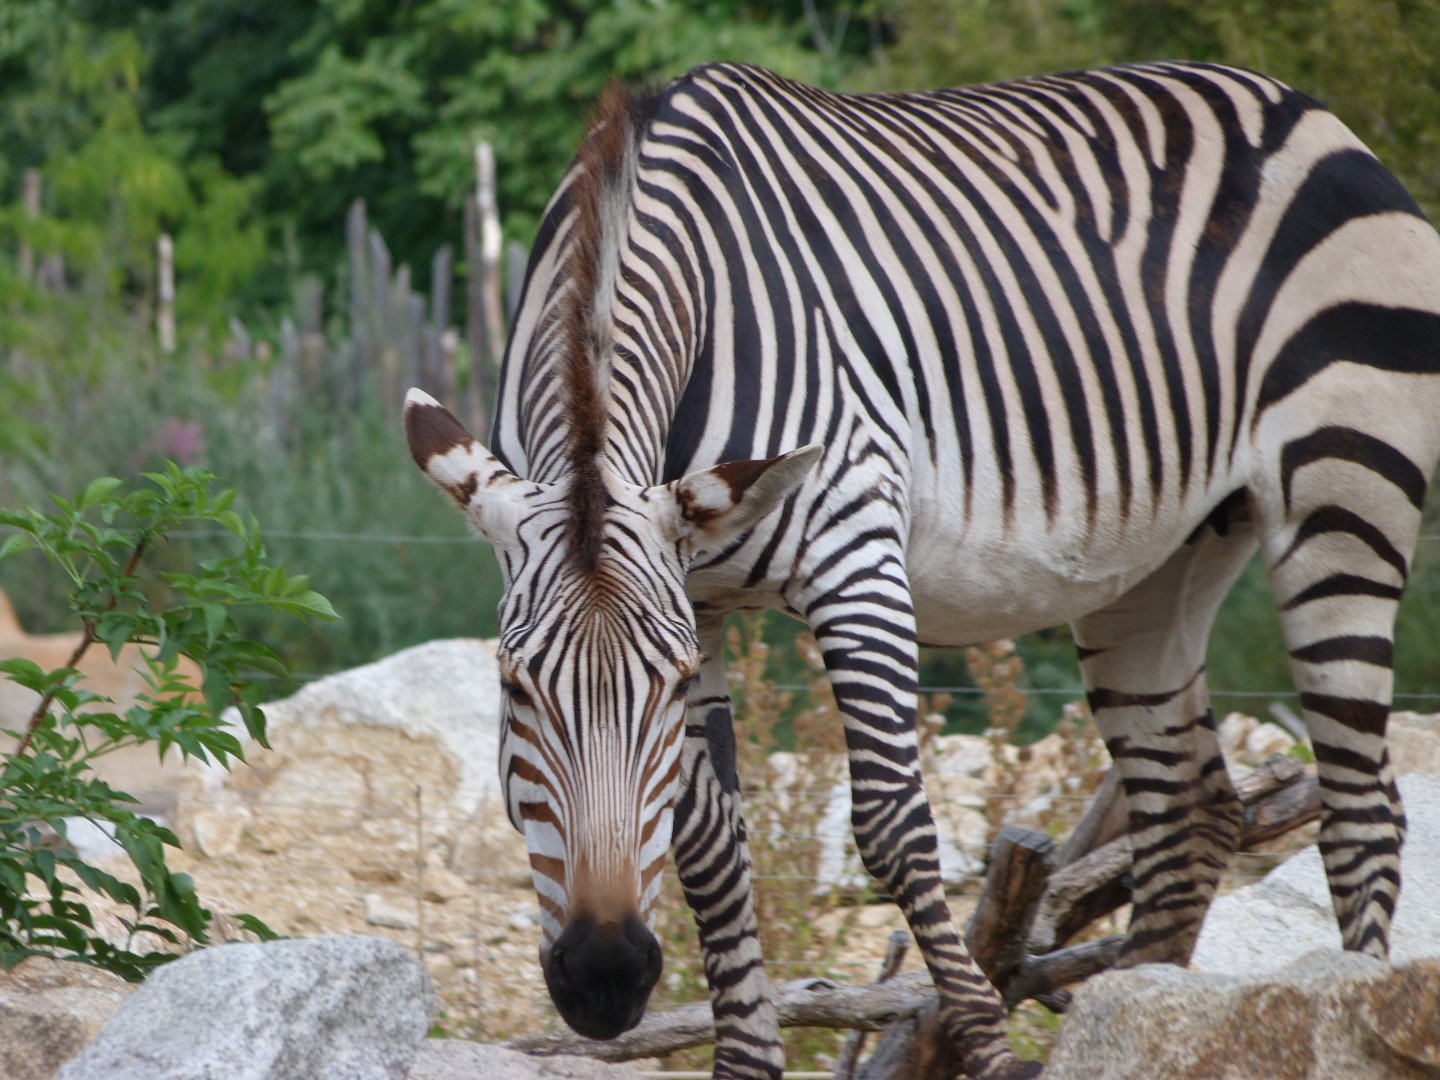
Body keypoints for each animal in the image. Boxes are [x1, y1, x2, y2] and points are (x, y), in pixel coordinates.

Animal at [404, 61, 1440, 1078]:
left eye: (658, 685)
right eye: (514, 686)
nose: (606, 979)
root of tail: (1306, 111)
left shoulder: (853, 552)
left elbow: (893, 827)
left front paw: (985, 1048)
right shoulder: (698, 596)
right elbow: (708, 842)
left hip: (1344, 495)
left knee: (1361, 810)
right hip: (1163, 562)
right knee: (1189, 813)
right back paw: (1130, 1019)